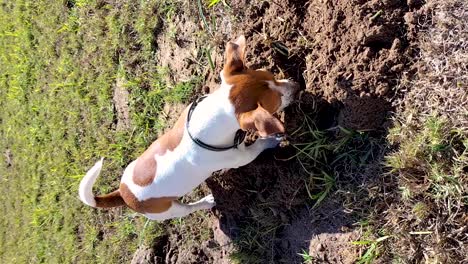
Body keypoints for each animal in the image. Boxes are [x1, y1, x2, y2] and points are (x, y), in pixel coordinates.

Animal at [79, 35, 300, 221]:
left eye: (273, 76)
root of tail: (123, 194)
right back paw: (205, 202)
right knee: (186, 209)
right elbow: (258, 146)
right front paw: (271, 139)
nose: (297, 85)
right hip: (168, 210)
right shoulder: (242, 157)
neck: (212, 115)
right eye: (277, 101)